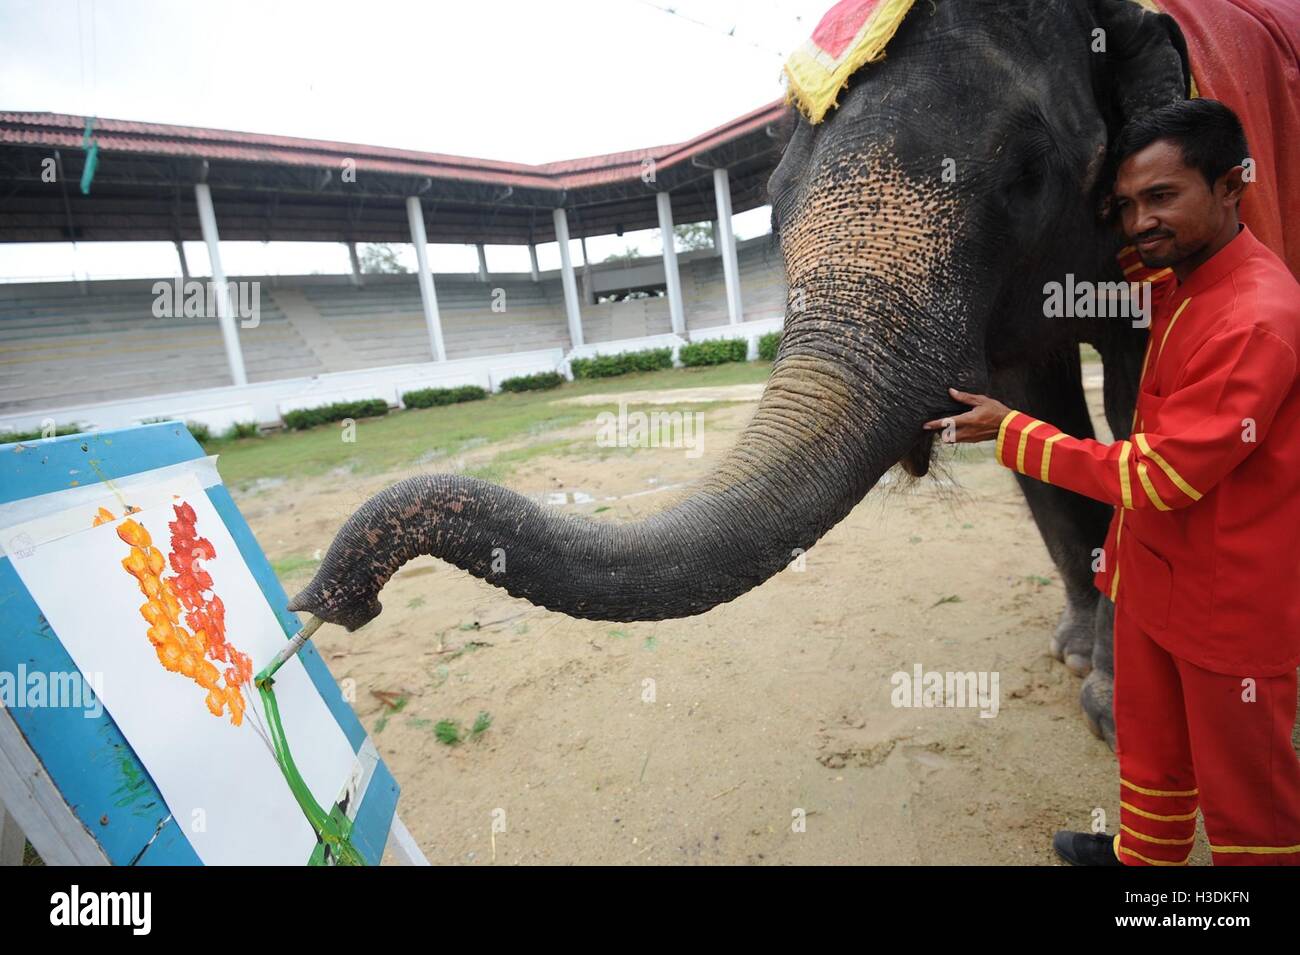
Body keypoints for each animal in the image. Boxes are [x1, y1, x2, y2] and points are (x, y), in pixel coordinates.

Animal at [289, 0, 1294, 748]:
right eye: (771, 203)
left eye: (1027, 172)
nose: (327, 600)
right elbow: (1037, 416)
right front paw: (1077, 656)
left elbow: (1138, 421)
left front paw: (1112, 711)